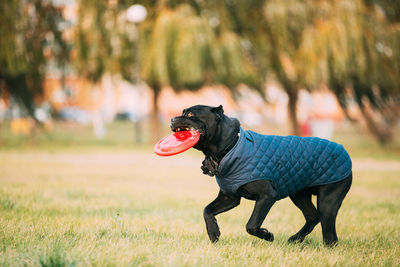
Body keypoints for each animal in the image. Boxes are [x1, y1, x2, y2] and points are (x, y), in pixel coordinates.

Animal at [170, 104, 352, 247]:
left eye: (191, 115)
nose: (172, 119)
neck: (231, 146)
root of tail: (342, 149)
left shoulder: (266, 196)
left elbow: (252, 224)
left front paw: (267, 235)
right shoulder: (229, 197)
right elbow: (207, 210)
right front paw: (213, 232)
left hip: (328, 201)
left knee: (330, 236)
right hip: (299, 195)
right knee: (313, 217)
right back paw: (295, 239)